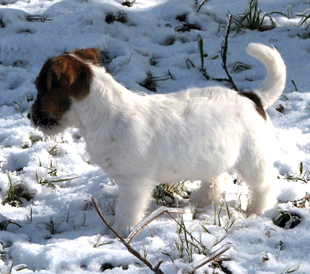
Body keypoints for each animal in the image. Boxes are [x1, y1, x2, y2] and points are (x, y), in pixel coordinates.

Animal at [28, 44, 286, 237]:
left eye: (40, 90)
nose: (31, 117)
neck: (106, 112)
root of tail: (253, 98)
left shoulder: (134, 184)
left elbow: (127, 211)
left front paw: (120, 234)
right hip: (215, 155)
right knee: (217, 179)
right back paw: (200, 200)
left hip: (253, 159)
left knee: (264, 186)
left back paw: (256, 211)